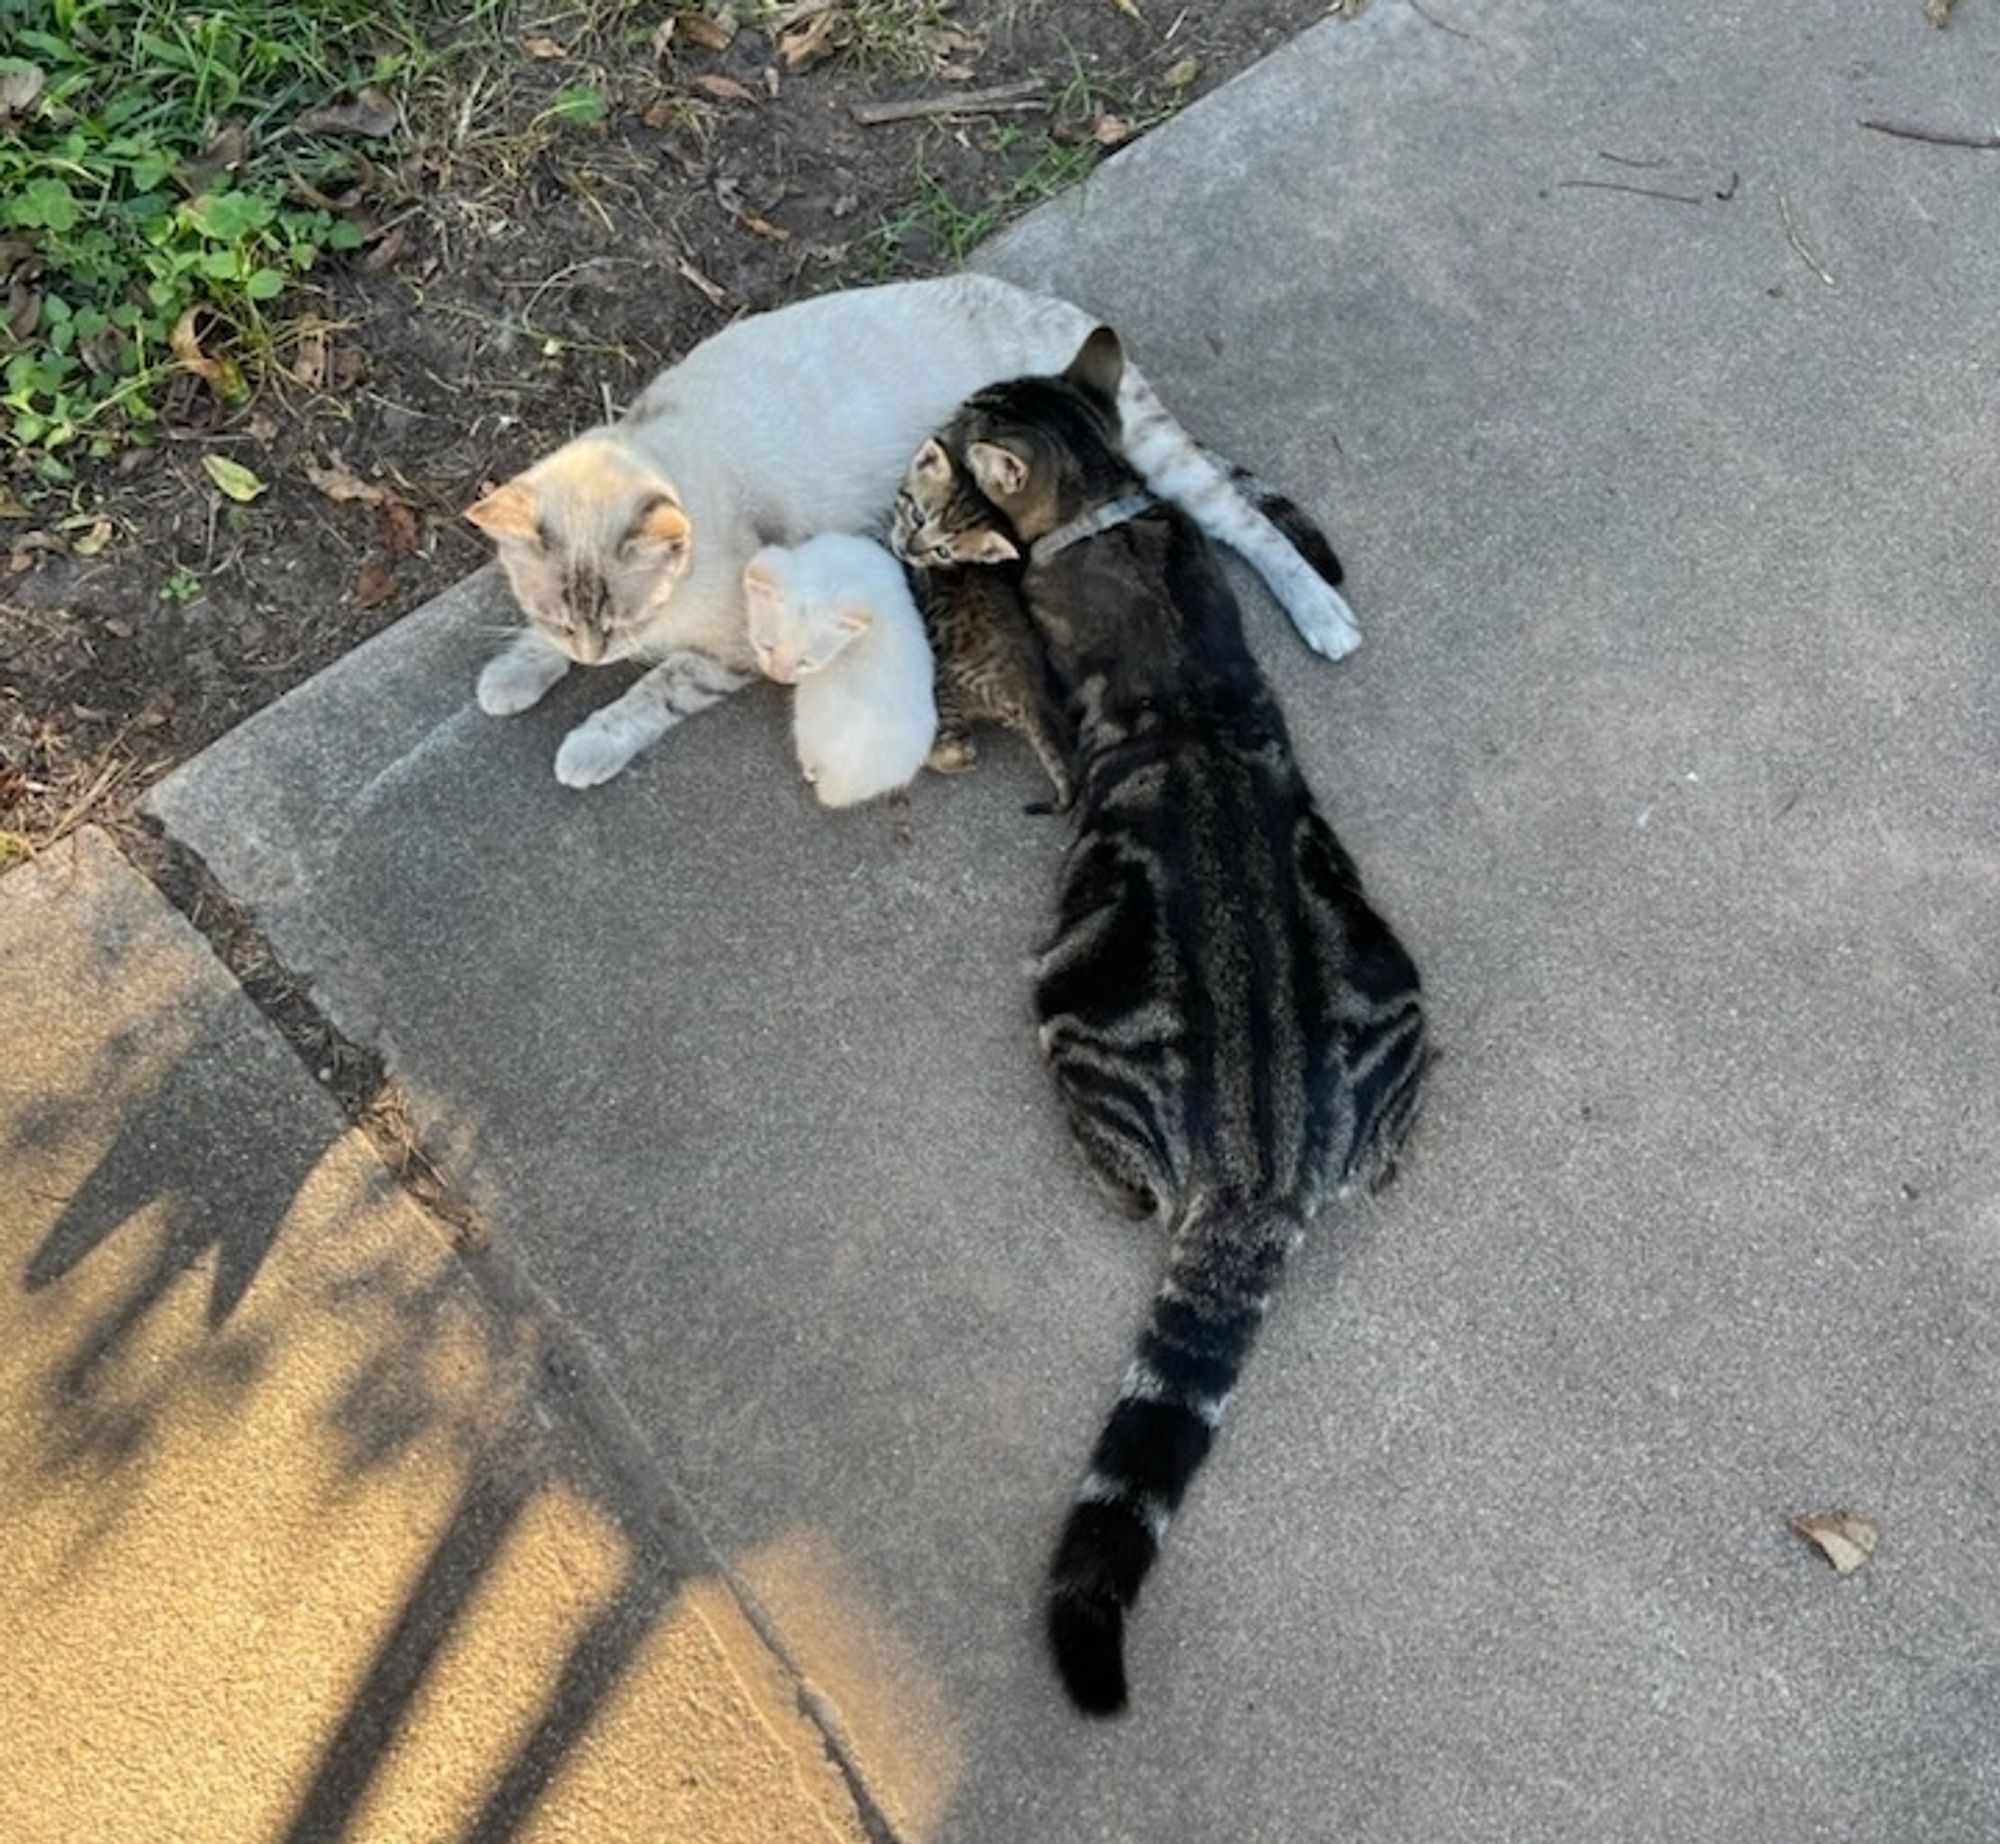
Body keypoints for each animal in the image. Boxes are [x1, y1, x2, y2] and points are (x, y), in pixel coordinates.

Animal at [900, 330, 1432, 1712]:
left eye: (950, 441)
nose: (922, 445)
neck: (1110, 503)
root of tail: (1258, 1167)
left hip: (1061, 1003)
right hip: (1398, 988)